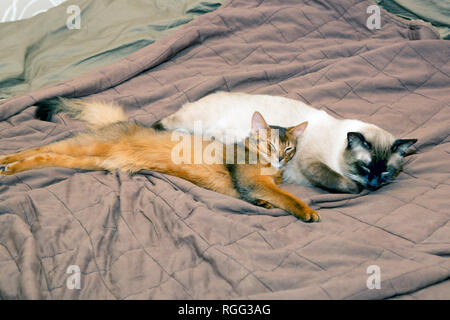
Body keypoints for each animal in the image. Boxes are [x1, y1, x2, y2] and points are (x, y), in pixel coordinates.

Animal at [0, 100, 318, 222]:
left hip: (90, 160)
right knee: (41, 146)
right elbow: (286, 197)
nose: (279, 158)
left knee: (47, 155)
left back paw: (11, 166)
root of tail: (122, 122)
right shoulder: (250, 181)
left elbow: (265, 197)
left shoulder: (251, 188)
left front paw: (264, 204)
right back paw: (7, 160)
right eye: (269, 145)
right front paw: (306, 211)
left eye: (289, 149)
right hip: (88, 145)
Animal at [156, 91, 416, 194]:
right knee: (162, 124)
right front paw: (357, 188)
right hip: (190, 123)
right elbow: (341, 182)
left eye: (386, 172)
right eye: (364, 167)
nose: (373, 184)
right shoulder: (313, 165)